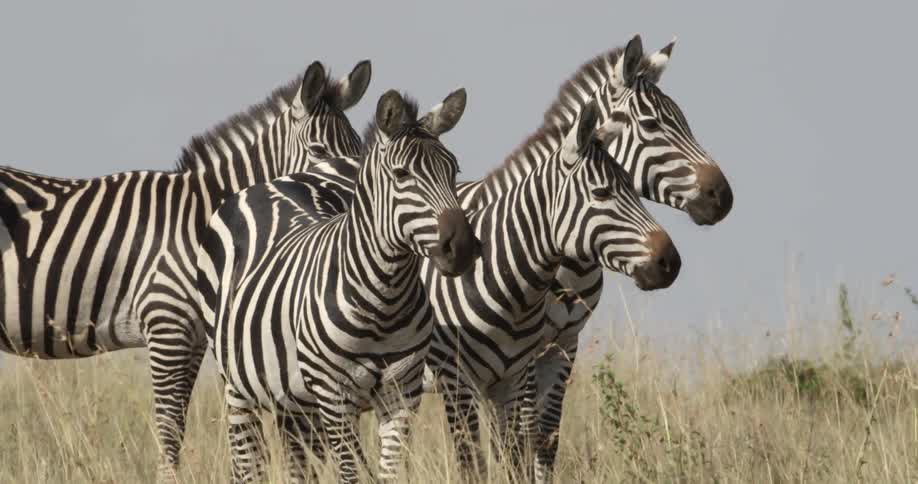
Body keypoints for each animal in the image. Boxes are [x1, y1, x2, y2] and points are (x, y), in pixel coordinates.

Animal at [0, 59, 371, 481]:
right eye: (319, 151)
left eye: (359, 149)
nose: (354, 216)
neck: (203, 220)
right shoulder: (167, 323)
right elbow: (170, 430)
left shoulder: (193, 338)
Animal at [195, 88, 480, 483]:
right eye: (402, 174)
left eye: (454, 171)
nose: (464, 248)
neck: (383, 302)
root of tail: (272, 182)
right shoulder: (334, 395)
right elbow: (351, 473)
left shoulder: (402, 392)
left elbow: (391, 472)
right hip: (236, 387)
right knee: (247, 462)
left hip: (295, 402)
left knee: (297, 465)